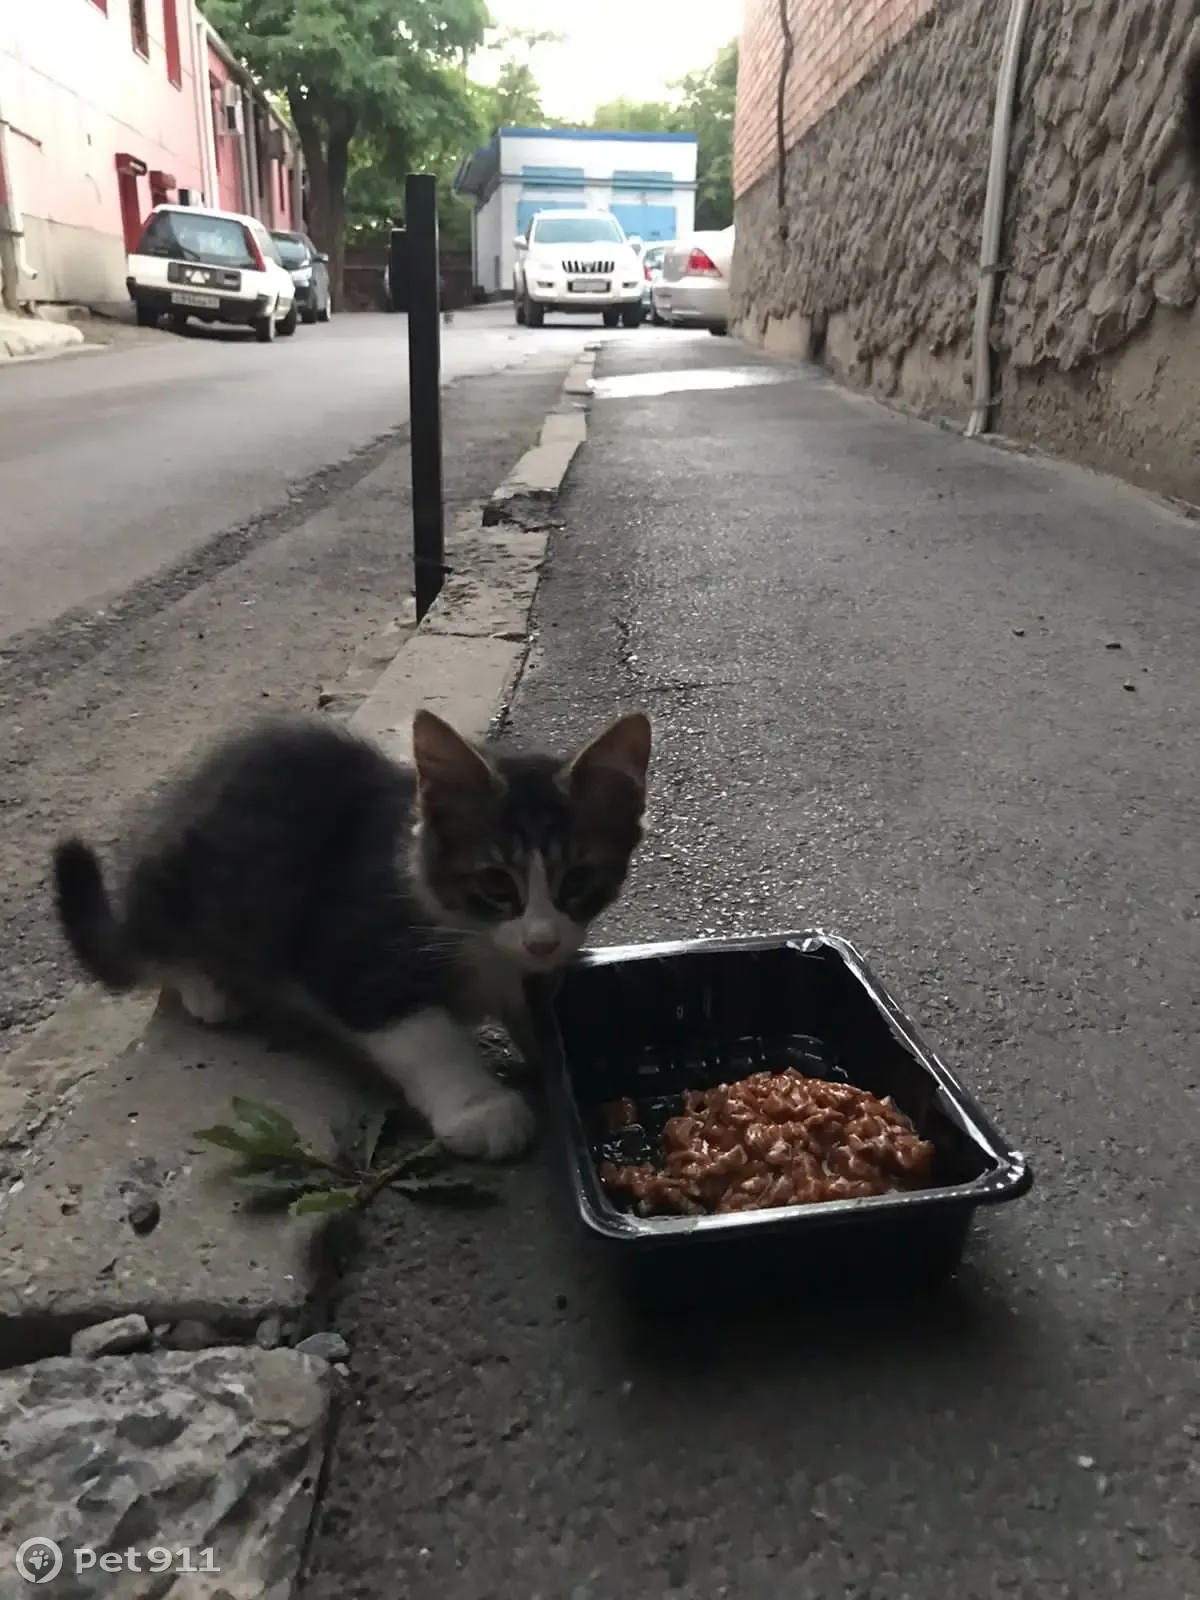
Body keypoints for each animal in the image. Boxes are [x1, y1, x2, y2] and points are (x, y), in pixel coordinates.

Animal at [54, 713, 659, 1164]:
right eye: (494, 882)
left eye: (577, 880)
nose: (541, 940)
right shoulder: (351, 950)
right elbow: (426, 1037)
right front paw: (481, 1107)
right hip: (198, 890)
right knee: (165, 949)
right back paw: (210, 989)